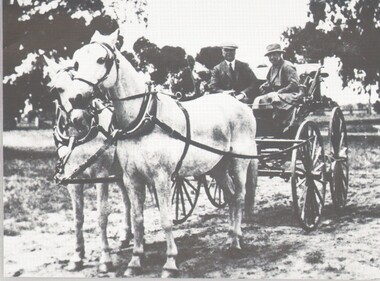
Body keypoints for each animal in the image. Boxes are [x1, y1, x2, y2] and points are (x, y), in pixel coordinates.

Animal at [44, 58, 133, 272]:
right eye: (57, 89)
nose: (79, 119)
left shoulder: (101, 177)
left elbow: (101, 216)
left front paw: (105, 258)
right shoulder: (73, 181)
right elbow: (78, 218)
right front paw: (77, 256)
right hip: (119, 174)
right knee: (127, 201)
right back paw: (126, 236)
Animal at [60, 30, 260, 276]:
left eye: (101, 60)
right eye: (77, 62)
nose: (76, 99)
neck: (145, 118)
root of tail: (240, 103)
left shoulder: (161, 178)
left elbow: (166, 220)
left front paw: (170, 263)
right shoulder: (132, 178)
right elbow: (137, 218)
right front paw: (135, 261)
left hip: (238, 162)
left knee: (240, 196)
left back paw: (237, 242)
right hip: (217, 167)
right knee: (230, 197)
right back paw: (231, 238)